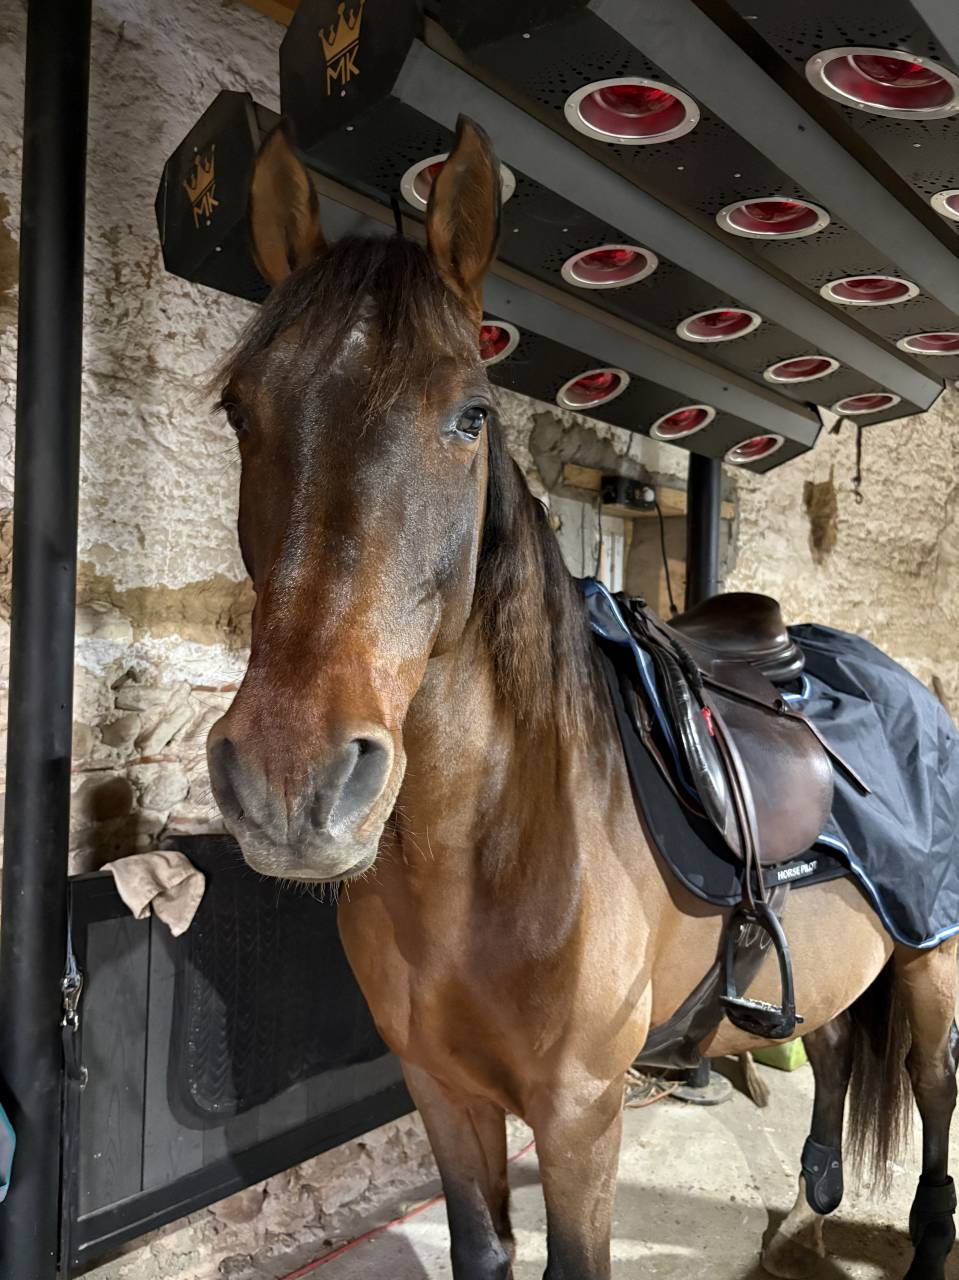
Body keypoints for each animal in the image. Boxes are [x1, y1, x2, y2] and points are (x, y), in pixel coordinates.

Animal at [205, 115, 959, 1280]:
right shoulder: (445, 1097)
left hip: (929, 957)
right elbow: (480, 1250)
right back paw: (817, 1189)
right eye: (241, 408)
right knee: (834, 1035)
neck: (488, 849)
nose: (292, 778)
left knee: (933, 1090)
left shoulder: (578, 1119)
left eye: (470, 415)